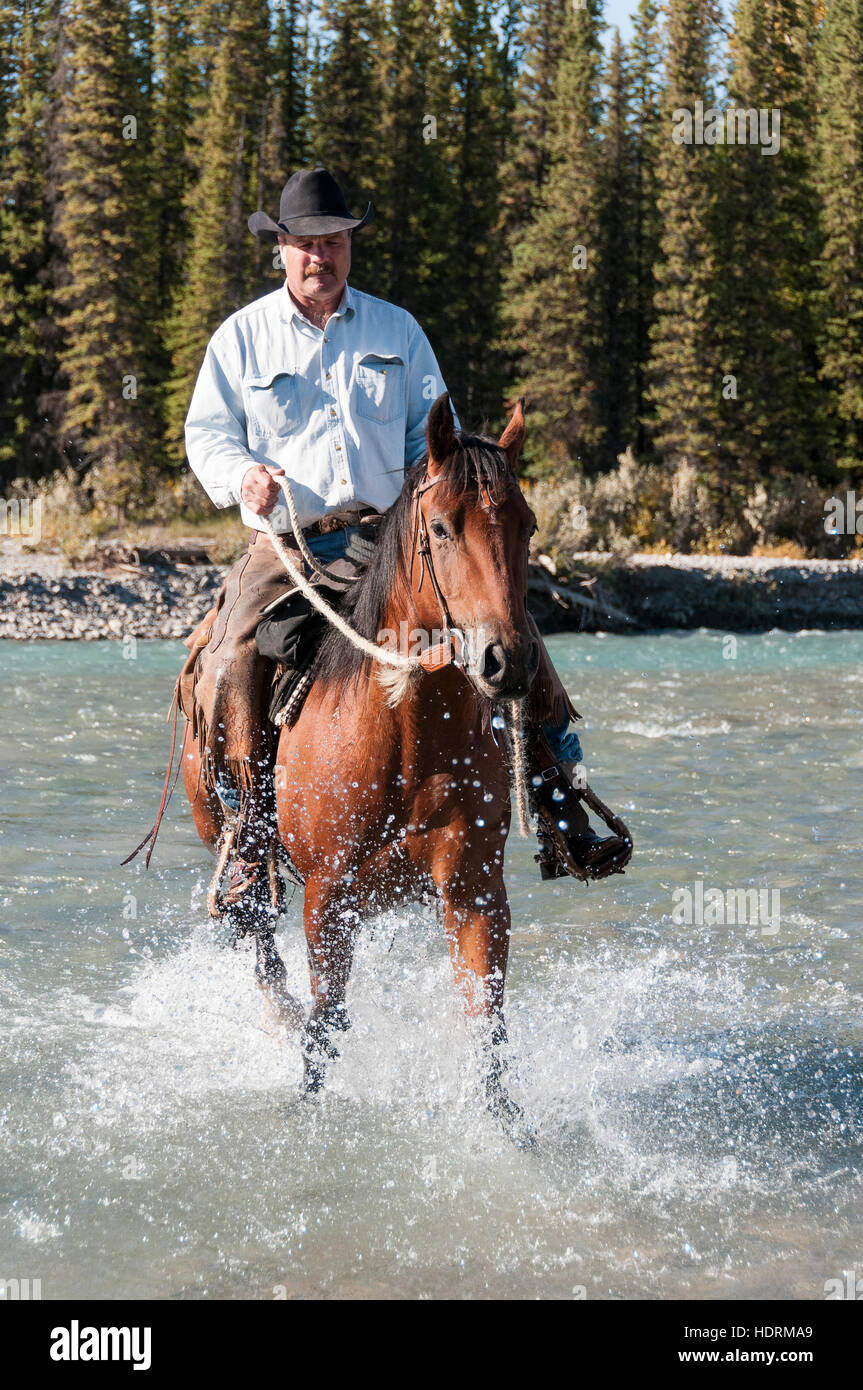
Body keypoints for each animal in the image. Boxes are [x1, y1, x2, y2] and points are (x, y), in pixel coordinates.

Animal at [181, 393, 541, 1127]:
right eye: (442, 526)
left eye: (527, 525)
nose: (507, 660)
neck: (406, 737)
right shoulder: (328, 897)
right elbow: (324, 1030)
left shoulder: (475, 892)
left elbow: (486, 1026)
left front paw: (510, 1131)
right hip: (230, 837)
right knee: (260, 938)